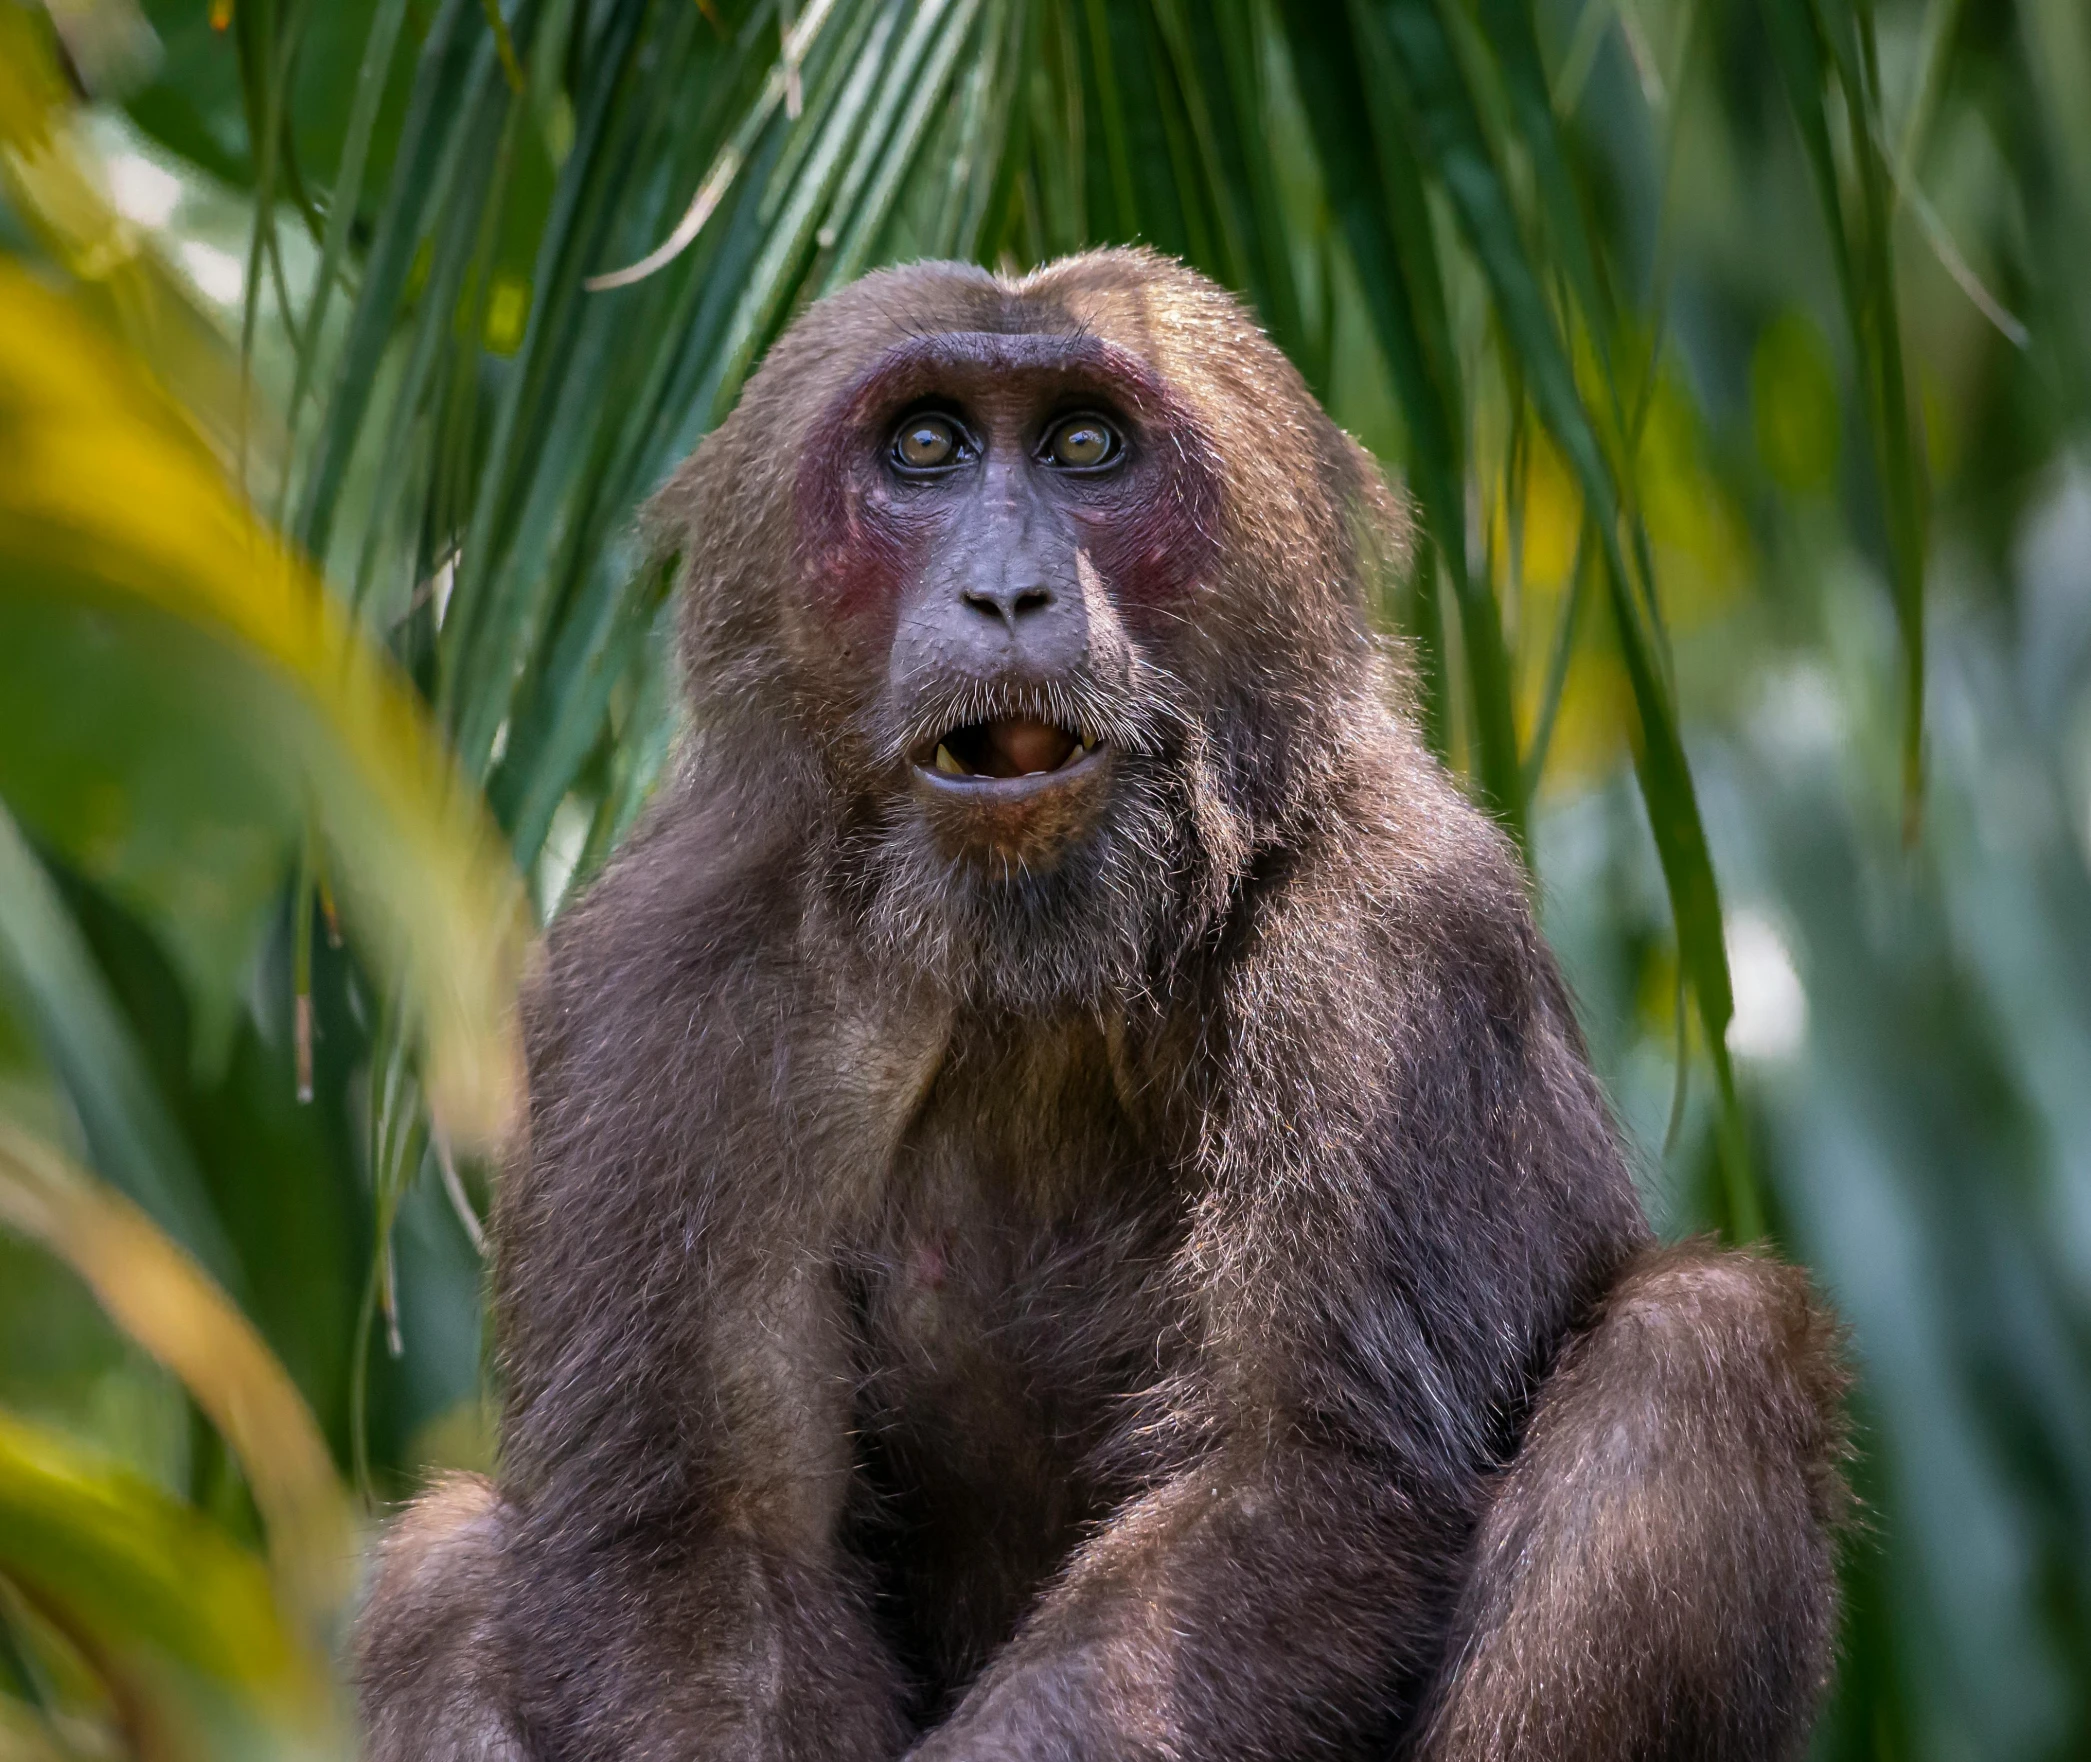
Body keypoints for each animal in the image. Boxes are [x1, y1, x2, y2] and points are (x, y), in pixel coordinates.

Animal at [355, 247, 1848, 1762]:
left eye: (1084, 448)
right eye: (927, 448)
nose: (1008, 591)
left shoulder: (1399, 938)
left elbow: (1291, 1481)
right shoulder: (664, 983)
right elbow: (703, 1538)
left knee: (1696, 1348)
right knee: (445, 1570)